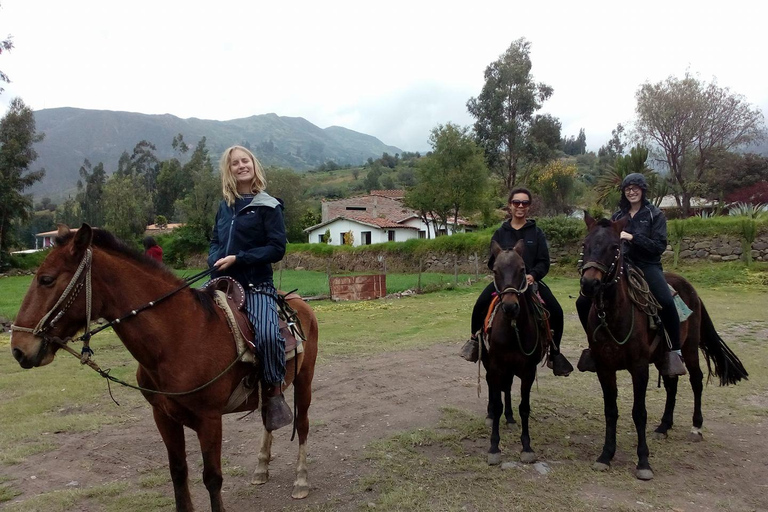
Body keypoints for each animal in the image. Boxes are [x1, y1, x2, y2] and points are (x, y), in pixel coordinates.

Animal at [9, 226, 316, 510]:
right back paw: (261, 468)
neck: (179, 337)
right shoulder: (163, 417)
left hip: (305, 381)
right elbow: (178, 473)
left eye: (46, 280)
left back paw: (301, 481)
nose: (18, 348)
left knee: (302, 425)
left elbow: (212, 478)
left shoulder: (209, 419)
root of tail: (299, 303)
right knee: (269, 419)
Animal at [484, 239, 548, 464]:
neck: (512, 330)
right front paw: (494, 447)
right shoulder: (496, 367)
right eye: (495, 270)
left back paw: (510, 418)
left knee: (508, 388)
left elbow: (524, 407)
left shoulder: (528, 371)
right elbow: (496, 404)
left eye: (522, 269)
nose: (510, 307)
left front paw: (526, 447)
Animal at [580, 214, 748, 482]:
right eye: (585, 245)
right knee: (672, 384)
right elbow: (611, 410)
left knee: (696, 380)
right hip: (662, 357)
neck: (613, 315)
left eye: (615, 247)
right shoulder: (605, 368)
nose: (589, 284)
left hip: (688, 349)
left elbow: (639, 412)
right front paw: (605, 456)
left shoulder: (639, 367)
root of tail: (690, 289)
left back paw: (696, 427)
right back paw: (663, 426)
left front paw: (643, 462)